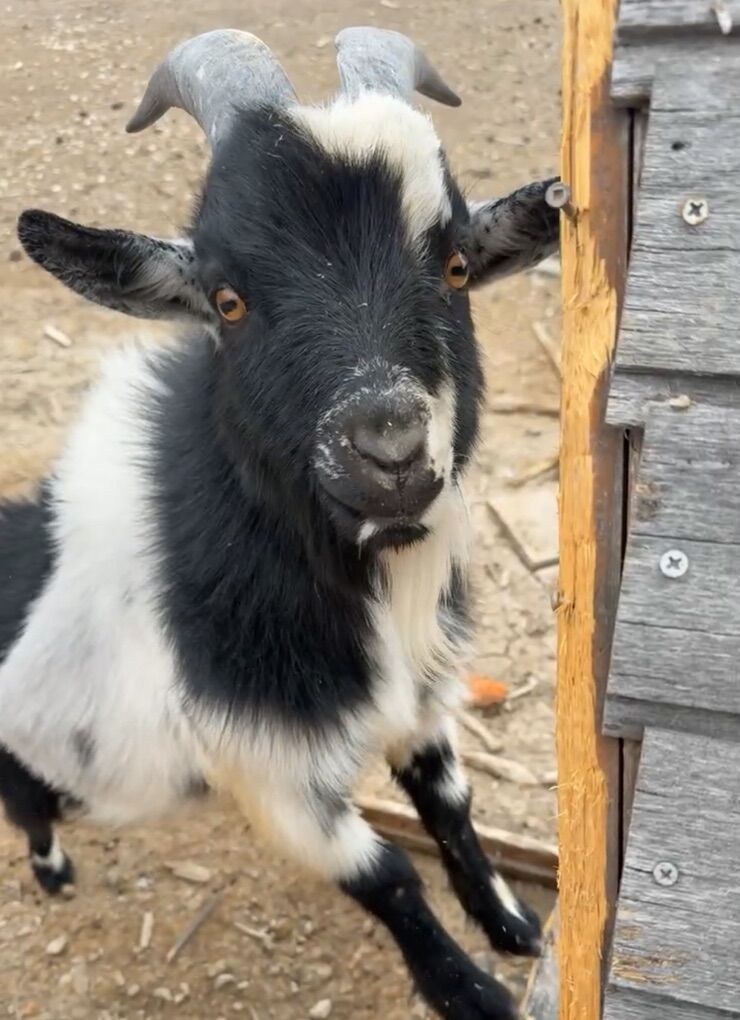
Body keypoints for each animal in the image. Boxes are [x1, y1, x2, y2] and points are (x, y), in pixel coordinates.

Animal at [0, 28, 559, 1020]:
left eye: (456, 265)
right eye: (228, 300)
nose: (389, 446)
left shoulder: (420, 701)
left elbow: (452, 808)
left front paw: (511, 923)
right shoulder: (271, 777)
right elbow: (387, 878)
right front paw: (473, 993)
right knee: (24, 804)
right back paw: (53, 867)